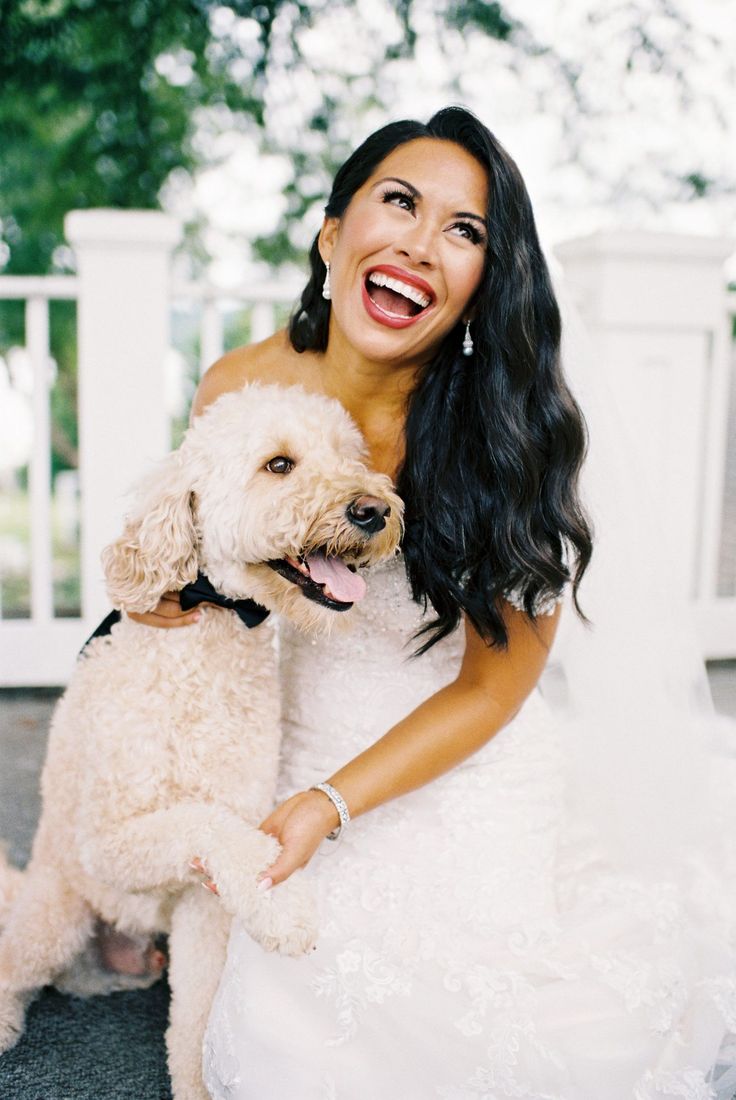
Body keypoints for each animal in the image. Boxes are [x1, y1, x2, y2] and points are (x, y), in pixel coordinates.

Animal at [0, 382, 402, 1095]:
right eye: (278, 465)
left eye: (350, 456)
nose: (374, 510)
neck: (210, 638)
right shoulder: (110, 840)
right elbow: (207, 822)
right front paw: (285, 909)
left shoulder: (202, 899)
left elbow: (195, 1014)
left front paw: (196, 1081)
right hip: (52, 916)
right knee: (10, 971)